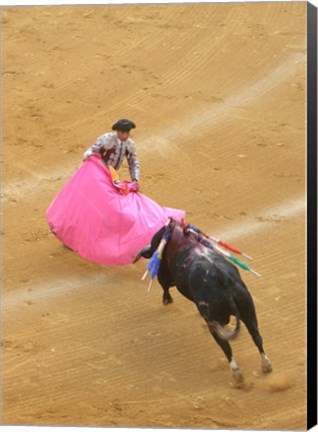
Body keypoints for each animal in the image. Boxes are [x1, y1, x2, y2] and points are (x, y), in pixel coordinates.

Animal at [133, 219, 272, 384]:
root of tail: (221, 278)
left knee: (226, 346)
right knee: (256, 336)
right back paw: (266, 365)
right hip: (248, 309)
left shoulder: (164, 274)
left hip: (216, 320)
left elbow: (165, 286)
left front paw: (167, 300)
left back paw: (237, 374)